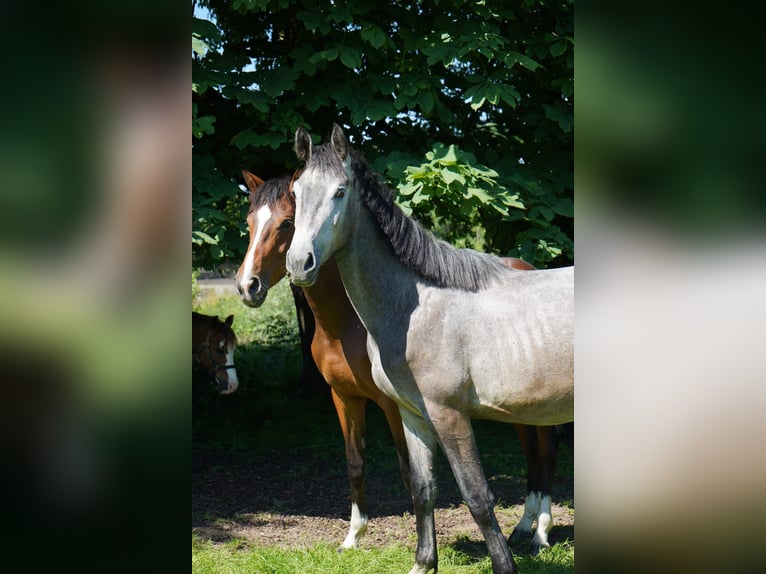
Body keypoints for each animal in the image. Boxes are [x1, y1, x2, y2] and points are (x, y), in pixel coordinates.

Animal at [237, 169, 572, 556]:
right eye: (249, 222)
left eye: (287, 223)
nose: (247, 286)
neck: (346, 324)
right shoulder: (344, 397)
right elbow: (355, 463)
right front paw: (353, 535)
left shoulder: (392, 403)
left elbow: (408, 470)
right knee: (531, 452)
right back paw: (522, 526)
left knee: (545, 451)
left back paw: (540, 532)